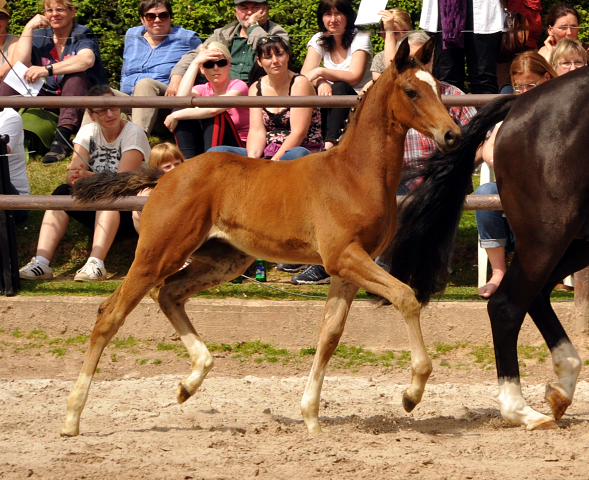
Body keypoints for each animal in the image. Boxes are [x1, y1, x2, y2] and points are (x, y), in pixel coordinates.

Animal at [62, 39, 462, 436]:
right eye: (411, 91)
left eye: (439, 88)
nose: (452, 135)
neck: (355, 173)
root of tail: (166, 177)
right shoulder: (344, 256)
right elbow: (406, 297)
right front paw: (411, 394)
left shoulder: (346, 268)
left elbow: (330, 334)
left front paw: (311, 416)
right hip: (159, 253)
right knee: (111, 312)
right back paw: (72, 417)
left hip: (224, 260)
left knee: (169, 294)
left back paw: (190, 382)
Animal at [382, 64, 588, 432]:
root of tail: (521, 103)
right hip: (549, 234)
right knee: (506, 305)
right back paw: (520, 409)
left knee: (534, 295)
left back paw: (561, 388)